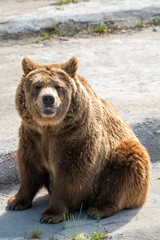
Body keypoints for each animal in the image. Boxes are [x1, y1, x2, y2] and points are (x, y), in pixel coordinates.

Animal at [7, 56, 150, 223]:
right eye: (37, 85)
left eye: (58, 86)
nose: (48, 98)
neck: (50, 128)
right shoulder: (32, 137)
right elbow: (28, 168)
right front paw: (15, 201)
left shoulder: (75, 138)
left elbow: (70, 175)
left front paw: (50, 214)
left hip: (119, 158)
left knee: (126, 167)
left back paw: (98, 209)